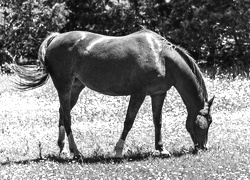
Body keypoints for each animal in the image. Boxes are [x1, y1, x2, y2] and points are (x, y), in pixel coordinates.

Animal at [12, 28, 215, 158]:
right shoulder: (138, 93)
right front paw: (118, 150)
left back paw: (62, 149)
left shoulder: (158, 94)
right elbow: (129, 121)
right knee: (67, 117)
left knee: (63, 112)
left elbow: (157, 121)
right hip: (64, 86)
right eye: (207, 122)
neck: (161, 56)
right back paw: (76, 152)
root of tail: (56, 38)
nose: (204, 147)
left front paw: (161, 149)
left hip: (75, 88)